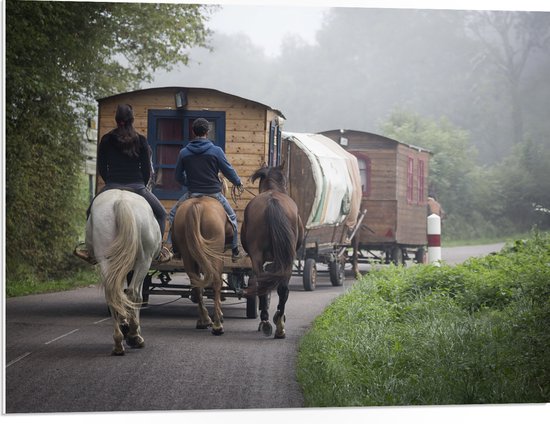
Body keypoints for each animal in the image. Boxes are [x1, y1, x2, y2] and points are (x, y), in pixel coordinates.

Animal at [85, 189, 161, 354]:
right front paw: (132, 331)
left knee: (112, 294)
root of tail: (121, 201)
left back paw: (119, 342)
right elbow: (134, 296)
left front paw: (124, 324)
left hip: (106, 260)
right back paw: (133, 336)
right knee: (134, 294)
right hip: (144, 261)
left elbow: (120, 294)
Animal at [172, 195, 233, 334]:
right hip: (214, 252)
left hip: (187, 253)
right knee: (216, 282)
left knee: (196, 283)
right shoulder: (219, 255)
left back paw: (204, 320)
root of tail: (197, 205)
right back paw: (217, 325)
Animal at [243, 164, 306, 340]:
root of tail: (272, 202)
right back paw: (278, 324)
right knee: (281, 288)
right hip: (286, 258)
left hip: (260, 257)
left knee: (265, 285)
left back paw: (268, 322)